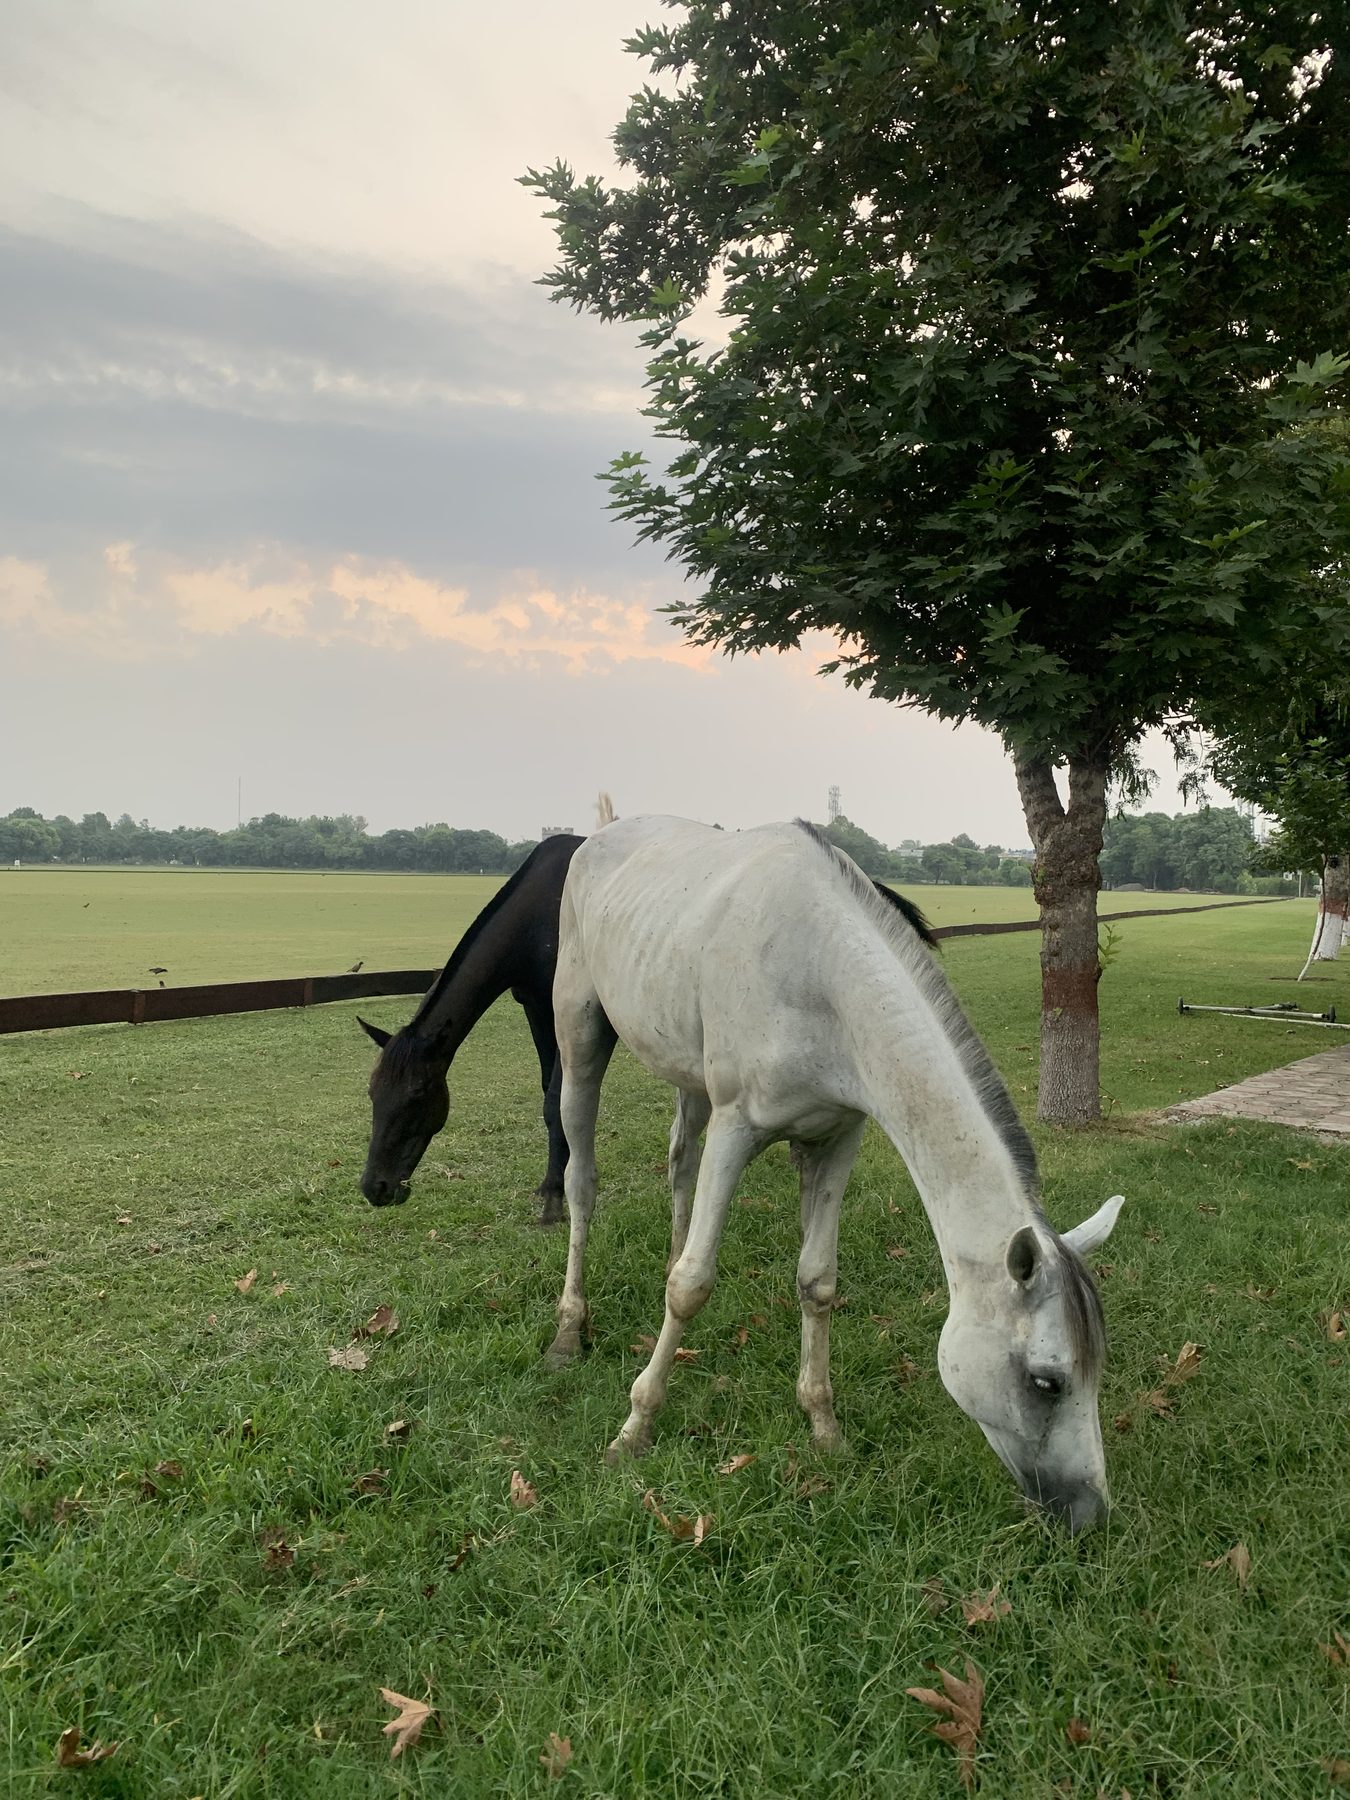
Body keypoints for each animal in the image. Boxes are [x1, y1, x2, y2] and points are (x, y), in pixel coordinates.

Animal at [357, 832, 584, 1222]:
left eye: (418, 1093)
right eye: (372, 1092)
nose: (376, 1188)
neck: (541, 914)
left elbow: (556, 1102)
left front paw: (555, 1195)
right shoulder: (535, 1008)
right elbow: (548, 1095)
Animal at [546, 816, 1124, 1532]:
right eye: (1047, 1380)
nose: (1090, 1514)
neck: (821, 977)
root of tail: (599, 835)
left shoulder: (838, 1138)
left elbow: (816, 1282)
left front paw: (824, 1427)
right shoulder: (737, 1129)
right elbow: (692, 1285)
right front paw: (634, 1428)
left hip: (686, 1069)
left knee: (680, 1160)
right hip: (580, 1037)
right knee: (583, 1182)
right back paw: (568, 1330)